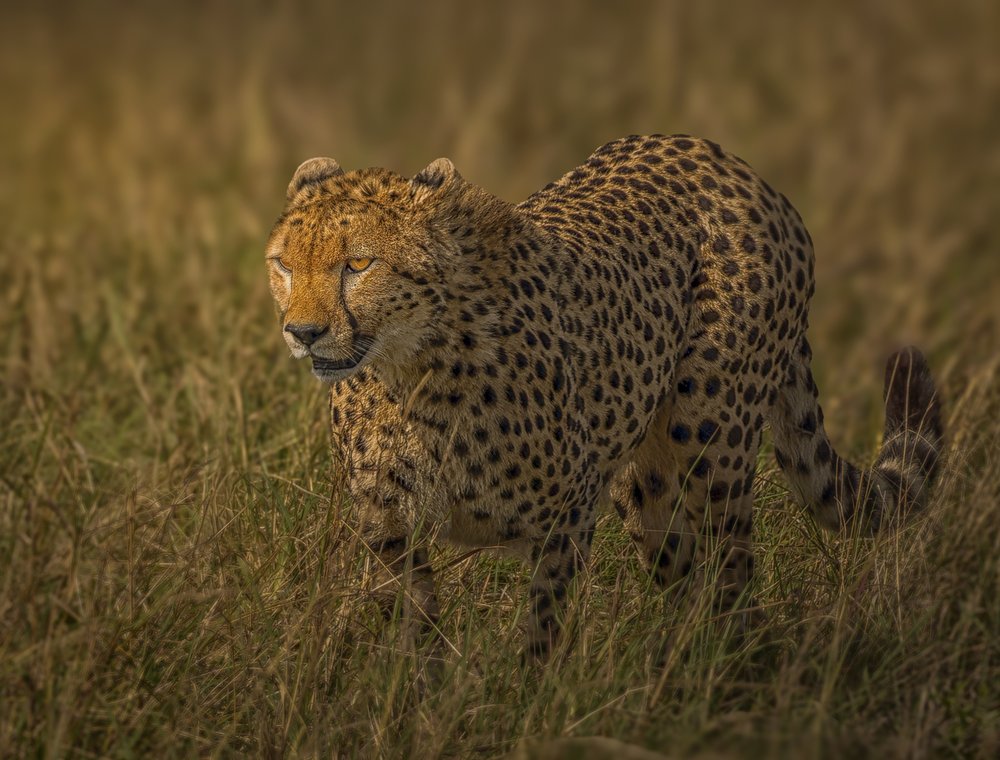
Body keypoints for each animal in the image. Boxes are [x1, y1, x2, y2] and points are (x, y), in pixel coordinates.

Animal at [265, 134, 943, 659]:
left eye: (359, 264)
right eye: (284, 265)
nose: (303, 332)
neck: (408, 371)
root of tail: (724, 158)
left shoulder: (567, 515)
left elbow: (542, 630)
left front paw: (527, 703)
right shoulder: (388, 529)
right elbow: (417, 639)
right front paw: (419, 710)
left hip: (711, 442)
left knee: (733, 575)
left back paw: (726, 679)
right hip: (644, 484)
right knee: (684, 578)